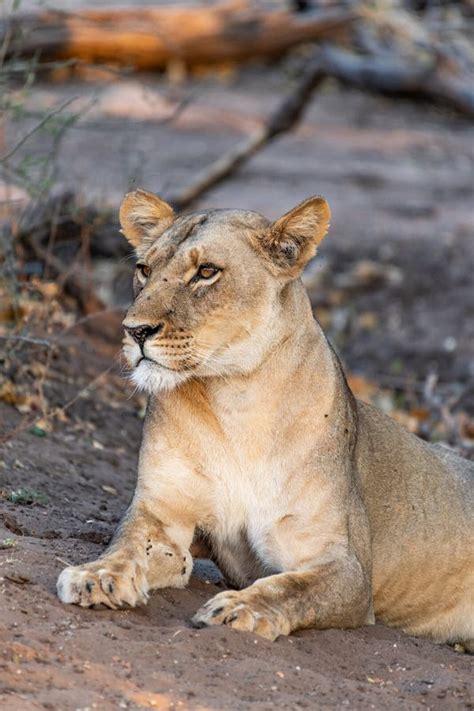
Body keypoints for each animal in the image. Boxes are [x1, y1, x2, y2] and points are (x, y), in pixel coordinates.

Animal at [57, 189, 474, 648]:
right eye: (144, 269)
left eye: (206, 272)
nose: (134, 331)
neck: (236, 401)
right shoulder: (162, 514)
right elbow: (128, 545)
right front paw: (97, 576)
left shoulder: (345, 566)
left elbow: (290, 587)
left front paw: (240, 608)